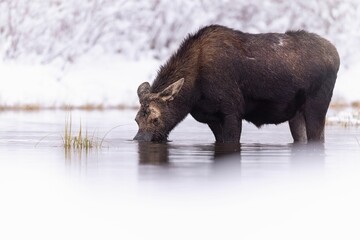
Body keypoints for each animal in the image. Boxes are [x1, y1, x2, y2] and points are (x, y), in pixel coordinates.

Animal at [133, 24, 340, 142]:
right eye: (136, 120)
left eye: (155, 118)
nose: (139, 140)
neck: (194, 93)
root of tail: (336, 54)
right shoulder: (211, 118)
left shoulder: (232, 111)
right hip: (296, 114)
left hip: (317, 106)